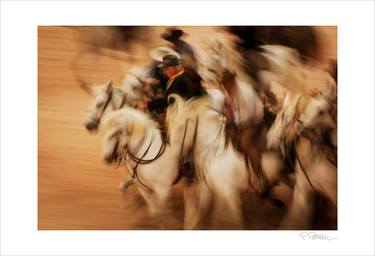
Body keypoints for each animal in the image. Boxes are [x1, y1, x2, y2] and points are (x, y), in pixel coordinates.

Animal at [167, 89, 250, 228]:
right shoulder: (207, 190)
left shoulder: (228, 194)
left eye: (182, 127)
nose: (173, 156)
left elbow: (232, 218)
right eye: (169, 127)